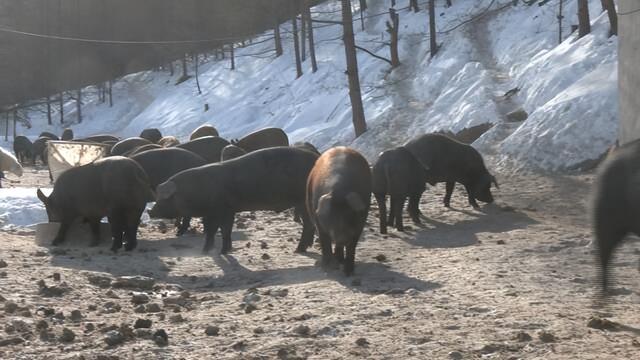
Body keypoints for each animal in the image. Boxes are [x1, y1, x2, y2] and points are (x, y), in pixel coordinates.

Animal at [304, 146, 370, 276]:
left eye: (350, 215)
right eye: (330, 217)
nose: (341, 238)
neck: (340, 191)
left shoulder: (360, 223)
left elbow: (352, 246)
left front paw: (348, 271)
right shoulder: (318, 221)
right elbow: (325, 242)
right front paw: (327, 267)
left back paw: (341, 261)